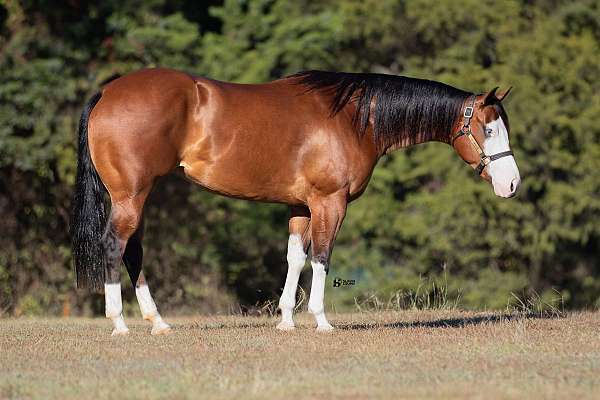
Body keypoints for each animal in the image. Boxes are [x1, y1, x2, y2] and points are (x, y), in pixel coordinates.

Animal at [71, 68, 520, 334]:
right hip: (130, 196)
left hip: (139, 196)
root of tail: (106, 92)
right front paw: (320, 320)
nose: (512, 183)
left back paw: (158, 322)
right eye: (489, 129)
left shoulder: (301, 207)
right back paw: (120, 323)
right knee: (115, 246)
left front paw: (286, 319)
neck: (353, 118)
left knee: (133, 253)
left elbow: (295, 258)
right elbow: (322, 256)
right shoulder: (329, 202)